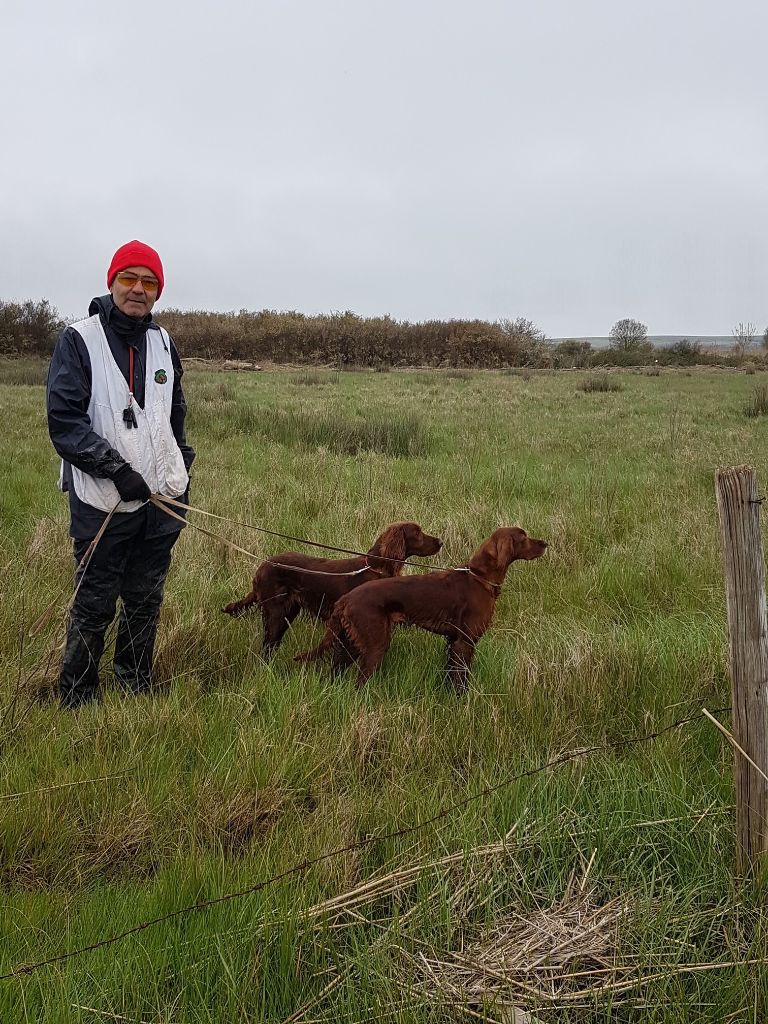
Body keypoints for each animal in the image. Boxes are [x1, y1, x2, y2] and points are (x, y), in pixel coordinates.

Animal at [222, 524, 442, 659]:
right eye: (417, 532)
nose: (440, 542)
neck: (374, 568)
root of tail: (261, 567)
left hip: (288, 612)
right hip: (275, 612)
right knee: (267, 646)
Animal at [296, 528, 548, 688]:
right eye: (524, 536)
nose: (545, 543)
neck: (480, 578)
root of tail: (346, 599)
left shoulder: (452, 642)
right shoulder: (465, 642)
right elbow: (461, 681)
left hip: (353, 643)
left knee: (337, 669)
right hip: (376, 644)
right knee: (359, 681)